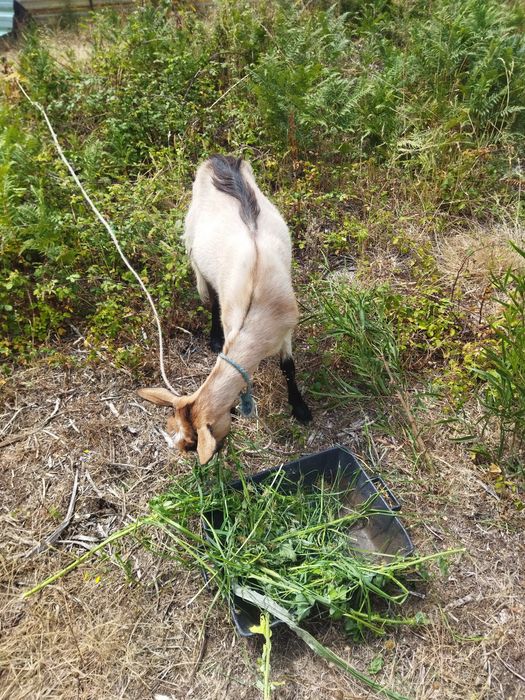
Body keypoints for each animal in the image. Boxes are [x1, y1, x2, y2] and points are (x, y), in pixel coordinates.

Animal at [138, 155, 311, 464]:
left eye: (192, 443)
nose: (199, 465)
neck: (256, 316)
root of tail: (218, 159)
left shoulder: (286, 329)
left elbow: (288, 367)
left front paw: (301, 409)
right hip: (195, 250)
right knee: (211, 296)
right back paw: (215, 337)